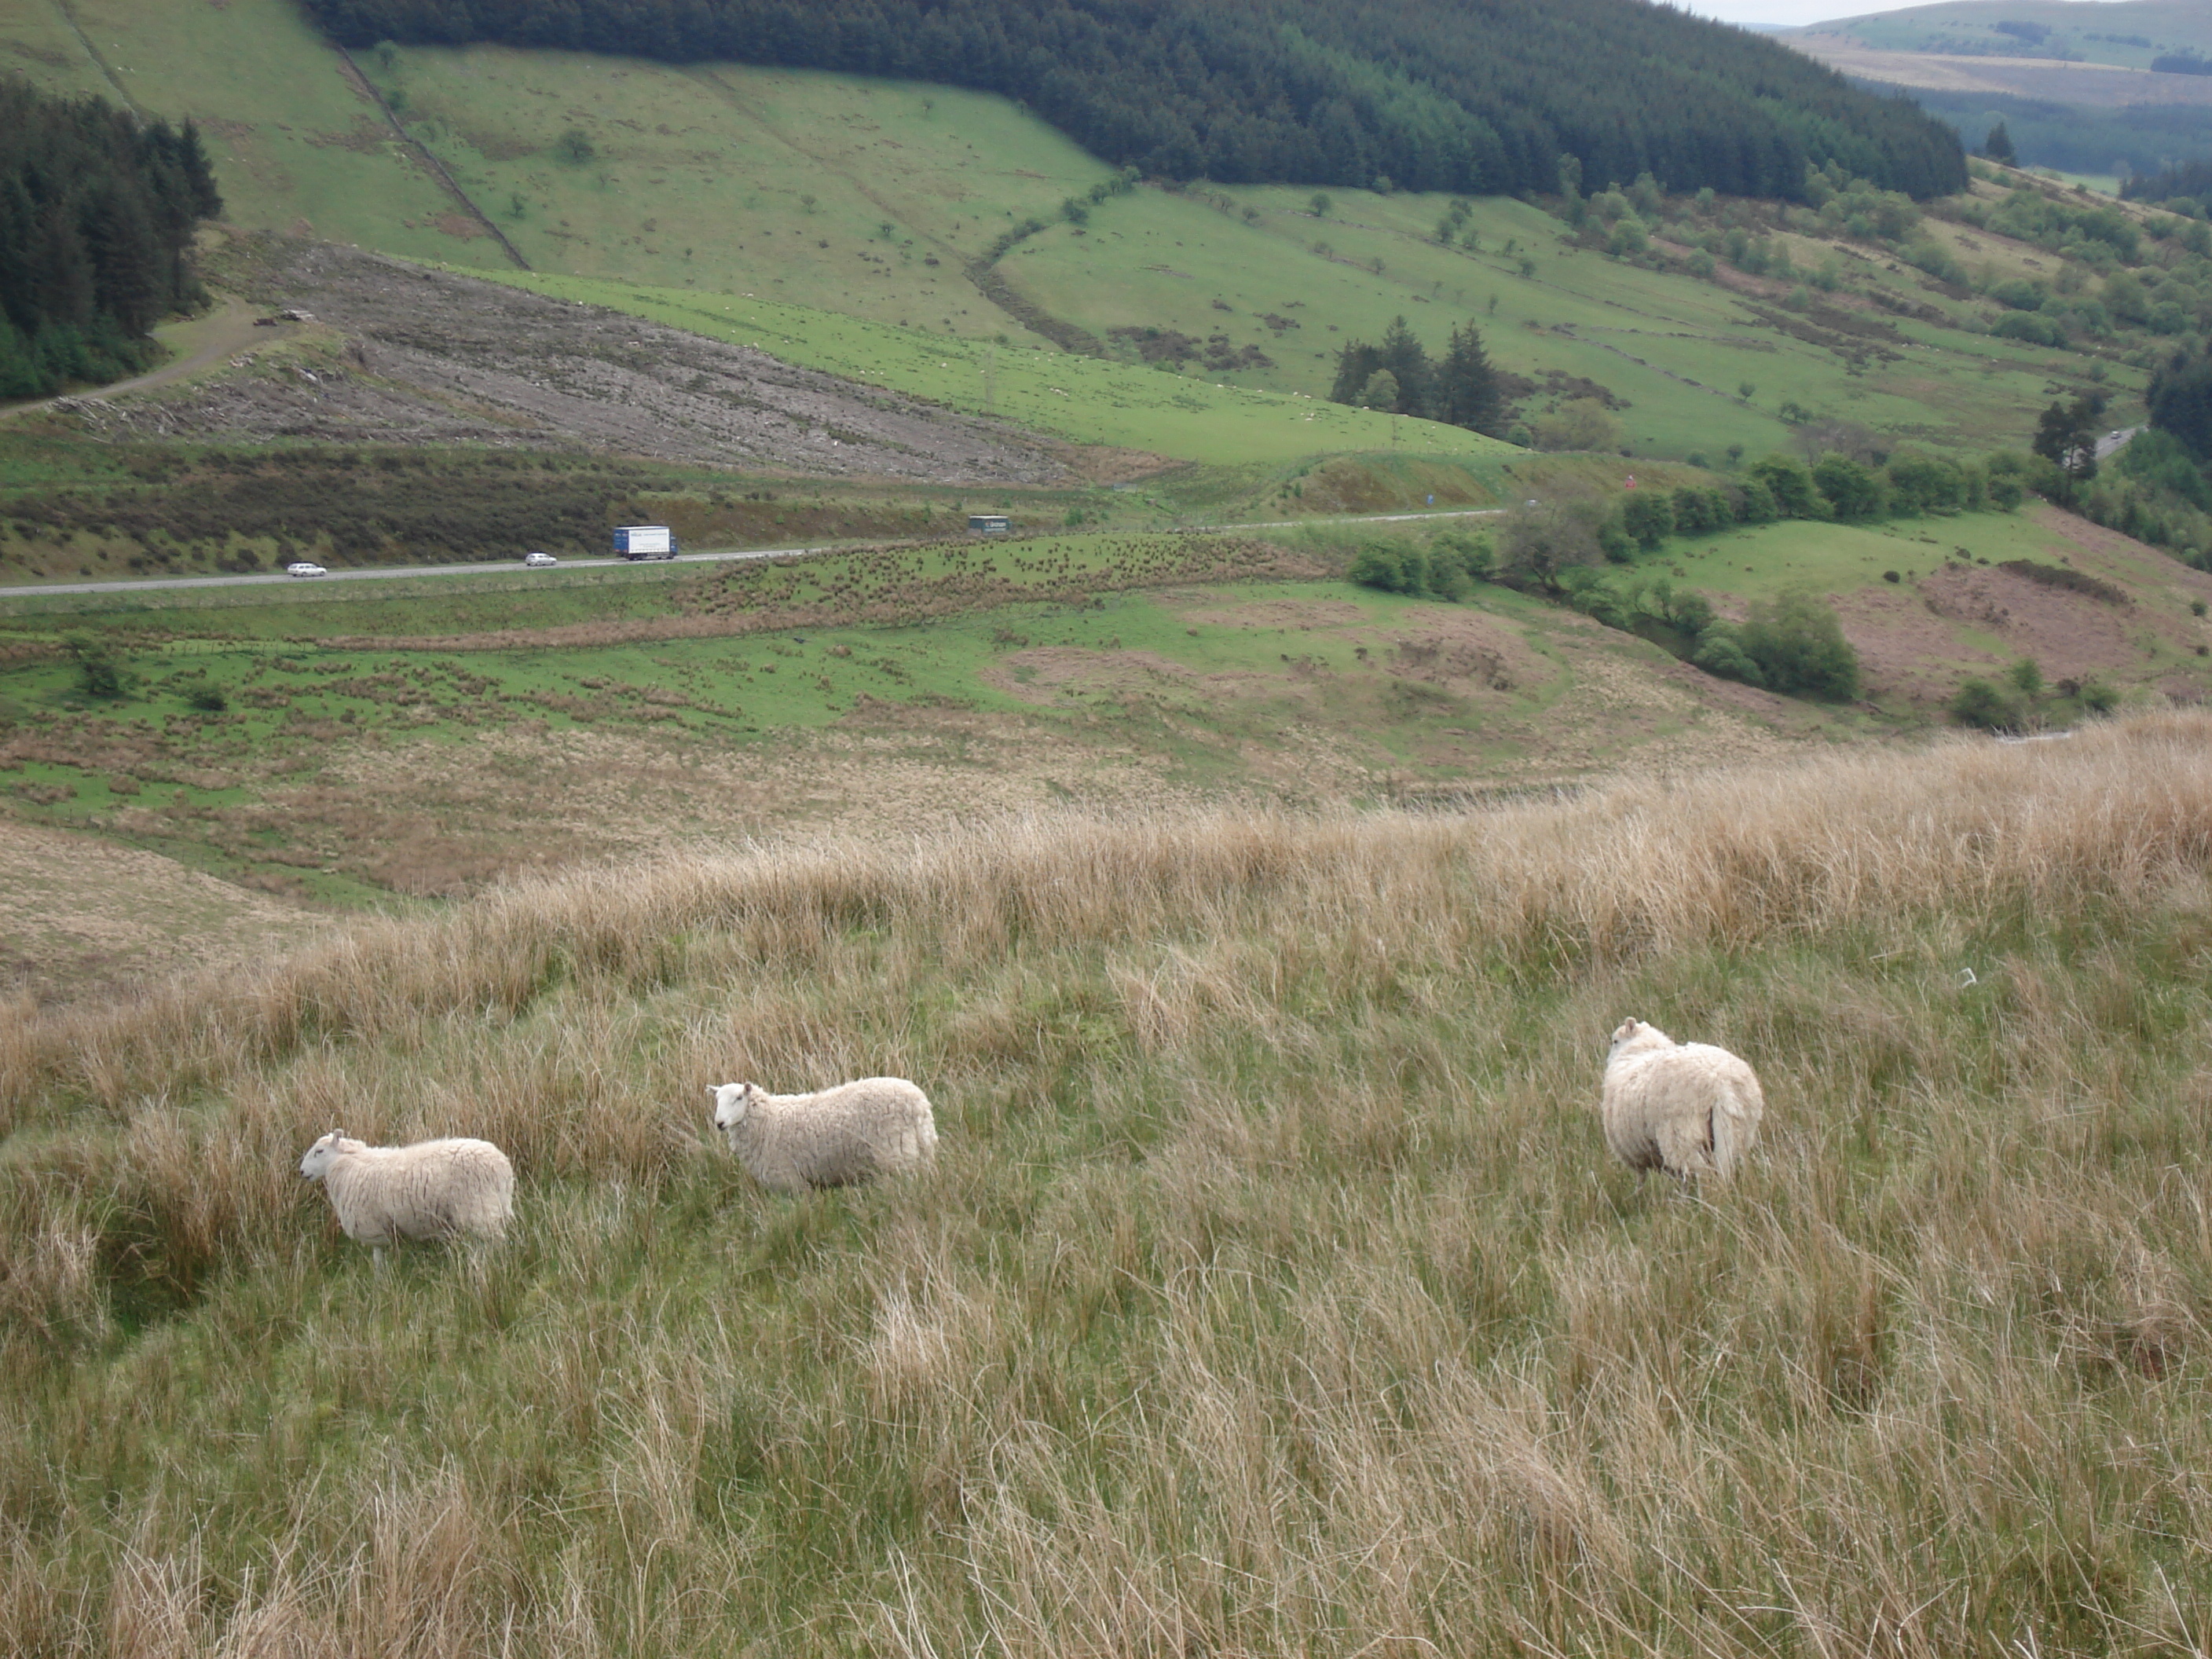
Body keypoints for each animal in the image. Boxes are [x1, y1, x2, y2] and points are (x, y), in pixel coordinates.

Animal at [298, 1132, 513, 1274]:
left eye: (319, 1151)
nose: (301, 1171)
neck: (350, 1163)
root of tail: (502, 1165)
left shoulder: (372, 1226)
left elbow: (377, 1255)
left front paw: (380, 1280)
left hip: (478, 1207)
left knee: (496, 1241)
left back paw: (493, 1266)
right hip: (496, 1204)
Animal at [712, 1079, 937, 1194]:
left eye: (739, 1098)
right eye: (716, 1100)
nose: (719, 1123)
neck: (768, 1120)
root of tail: (919, 1102)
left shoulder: (791, 1182)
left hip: (896, 1154)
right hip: (922, 1148)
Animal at [1601, 1013, 1769, 1185]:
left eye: (1615, 1041)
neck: (1637, 1052)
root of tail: (1720, 1084)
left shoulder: (1634, 1153)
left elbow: (1642, 1179)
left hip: (1681, 1135)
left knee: (1700, 1172)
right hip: (1739, 1131)